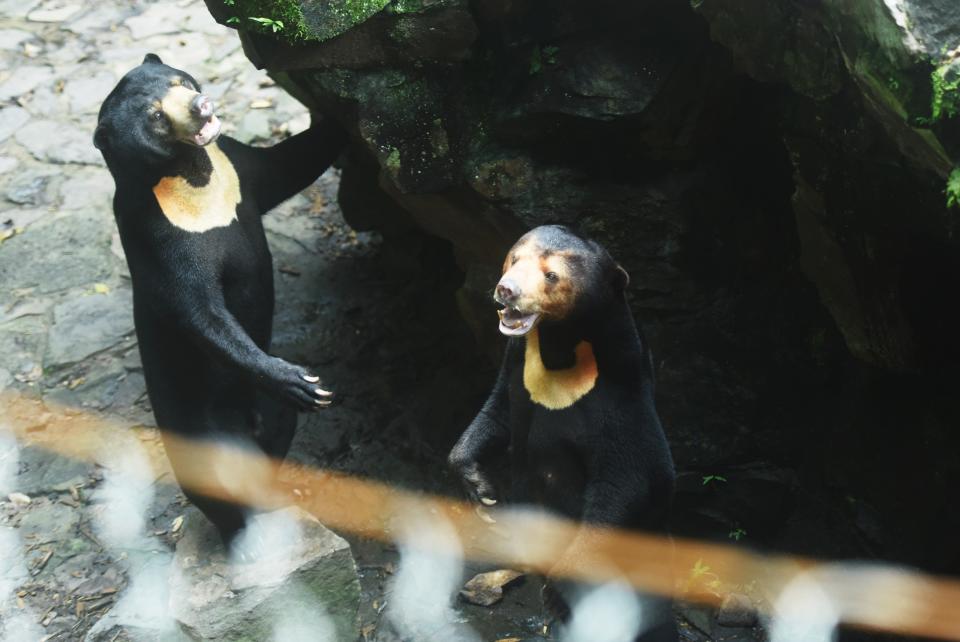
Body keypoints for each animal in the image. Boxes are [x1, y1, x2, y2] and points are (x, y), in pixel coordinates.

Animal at [94, 53, 346, 544]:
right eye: (155, 116)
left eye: (179, 81)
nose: (201, 105)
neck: (195, 176)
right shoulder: (160, 238)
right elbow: (201, 314)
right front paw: (301, 382)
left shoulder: (238, 168)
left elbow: (292, 161)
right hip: (201, 430)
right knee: (220, 483)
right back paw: (245, 540)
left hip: (267, 415)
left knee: (275, 435)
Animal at [448, 222, 676, 636]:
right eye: (514, 259)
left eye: (551, 275)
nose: (506, 290)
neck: (559, 350)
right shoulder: (517, 364)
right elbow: (498, 411)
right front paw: (482, 492)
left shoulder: (622, 395)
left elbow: (631, 476)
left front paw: (559, 589)